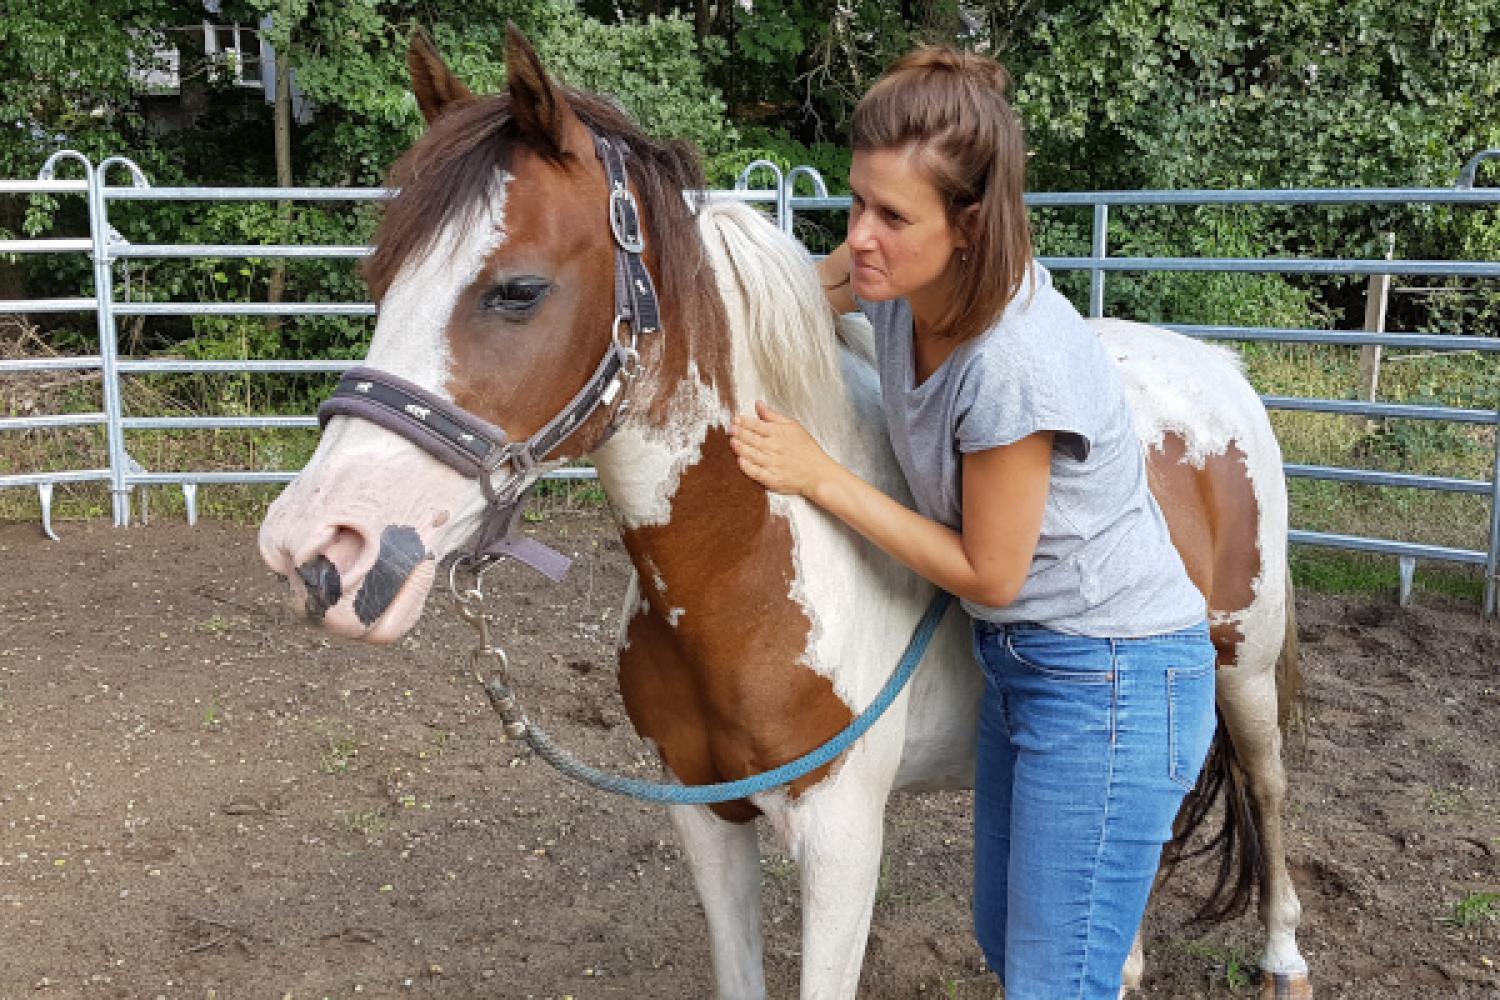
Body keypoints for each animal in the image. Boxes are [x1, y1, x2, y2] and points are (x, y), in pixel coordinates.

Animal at [258, 27, 1311, 999]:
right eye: (381, 279)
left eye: (518, 290)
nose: (317, 548)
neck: (753, 574)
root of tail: (1214, 363)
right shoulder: (704, 815)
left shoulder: (844, 843)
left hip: (1246, 670)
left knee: (1267, 785)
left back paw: (1284, 959)